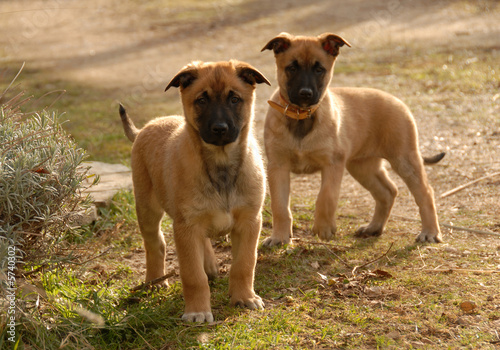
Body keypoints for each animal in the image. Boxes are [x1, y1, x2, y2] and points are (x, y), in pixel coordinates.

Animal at [119, 60, 270, 322]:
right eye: (201, 100)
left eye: (234, 99)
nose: (219, 129)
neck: (220, 165)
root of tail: (147, 126)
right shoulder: (186, 228)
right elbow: (192, 275)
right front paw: (197, 310)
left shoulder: (249, 222)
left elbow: (244, 264)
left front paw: (244, 297)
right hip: (147, 209)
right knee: (155, 244)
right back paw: (155, 281)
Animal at [260, 32, 444, 246]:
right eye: (291, 68)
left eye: (319, 69)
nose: (305, 93)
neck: (301, 117)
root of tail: (399, 102)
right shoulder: (277, 167)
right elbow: (280, 206)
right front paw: (279, 237)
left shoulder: (333, 164)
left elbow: (326, 197)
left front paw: (324, 228)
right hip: (363, 166)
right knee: (388, 192)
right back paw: (374, 227)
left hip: (404, 160)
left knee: (425, 193)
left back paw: (430, 232)